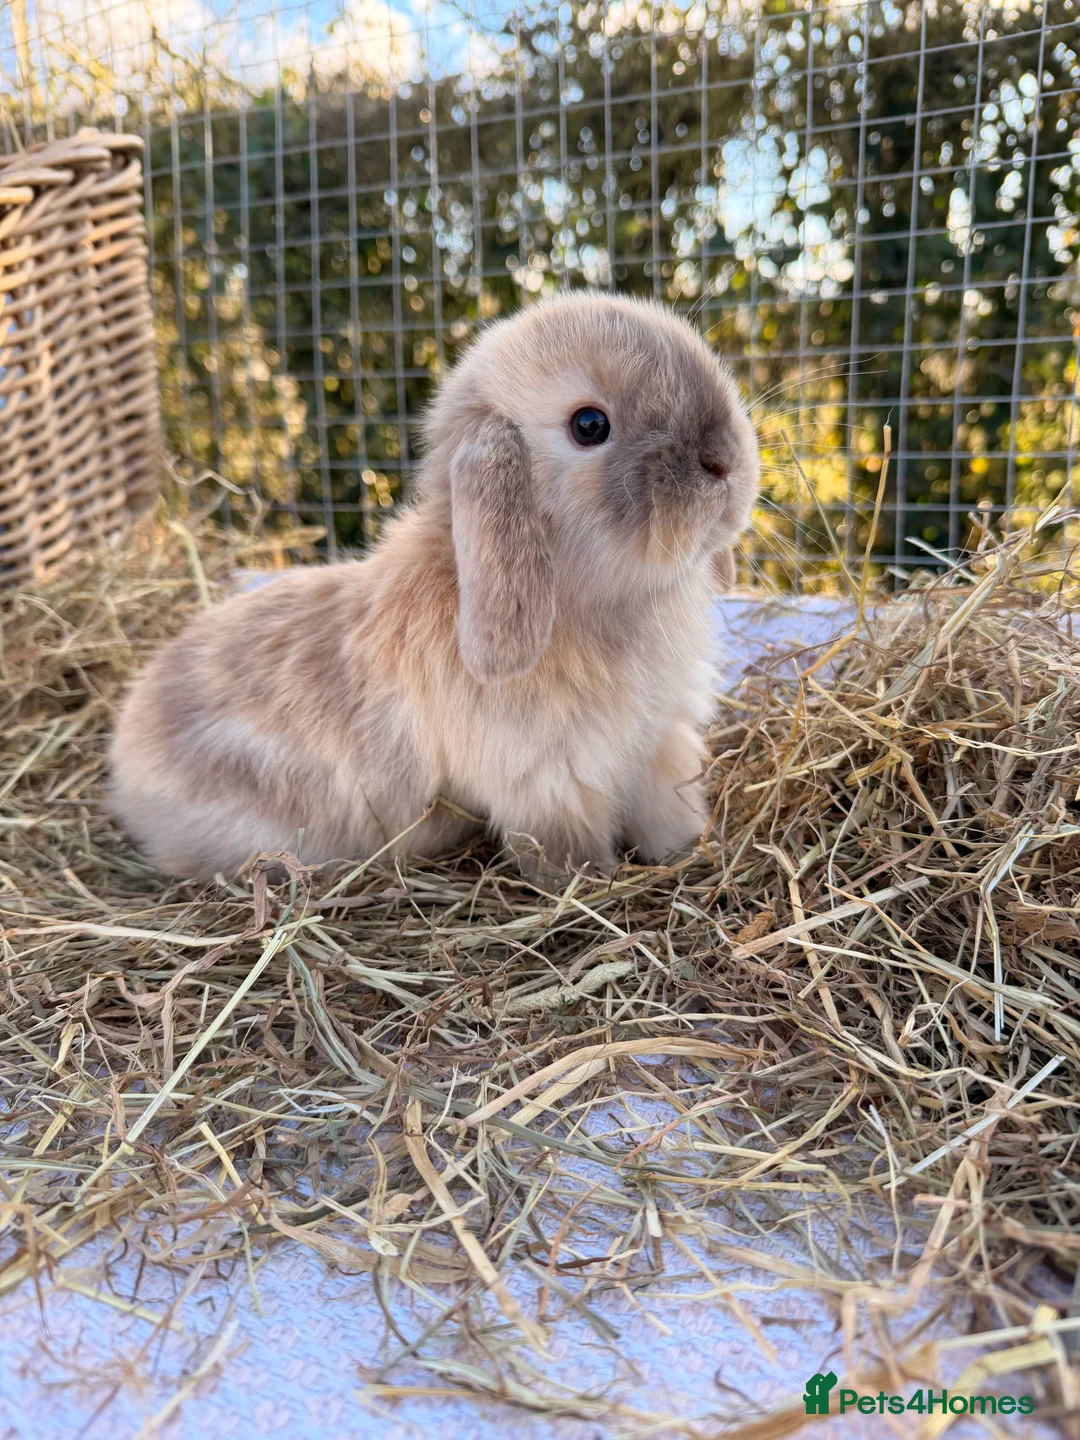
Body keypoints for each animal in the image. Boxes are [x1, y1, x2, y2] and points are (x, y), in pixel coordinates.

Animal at [108, 293, 759, 881]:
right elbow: (564, 854)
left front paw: (691, 854)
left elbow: (668, 815)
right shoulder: (550, 787)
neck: (584, 595)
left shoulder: (660, 747)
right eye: (589, 425)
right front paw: (593, 885)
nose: (723, 462)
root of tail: (123, 753)